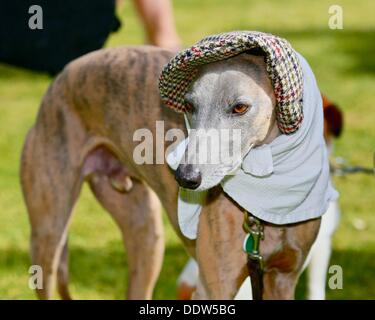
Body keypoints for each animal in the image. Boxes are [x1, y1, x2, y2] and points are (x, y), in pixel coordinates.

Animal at [20, 45, 320, 300]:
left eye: (240, 107)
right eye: (189, 106)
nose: (185, 178)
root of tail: (60, 78)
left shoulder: (283, 279)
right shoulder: (214, 287)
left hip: (147, 237)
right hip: (48, 236)